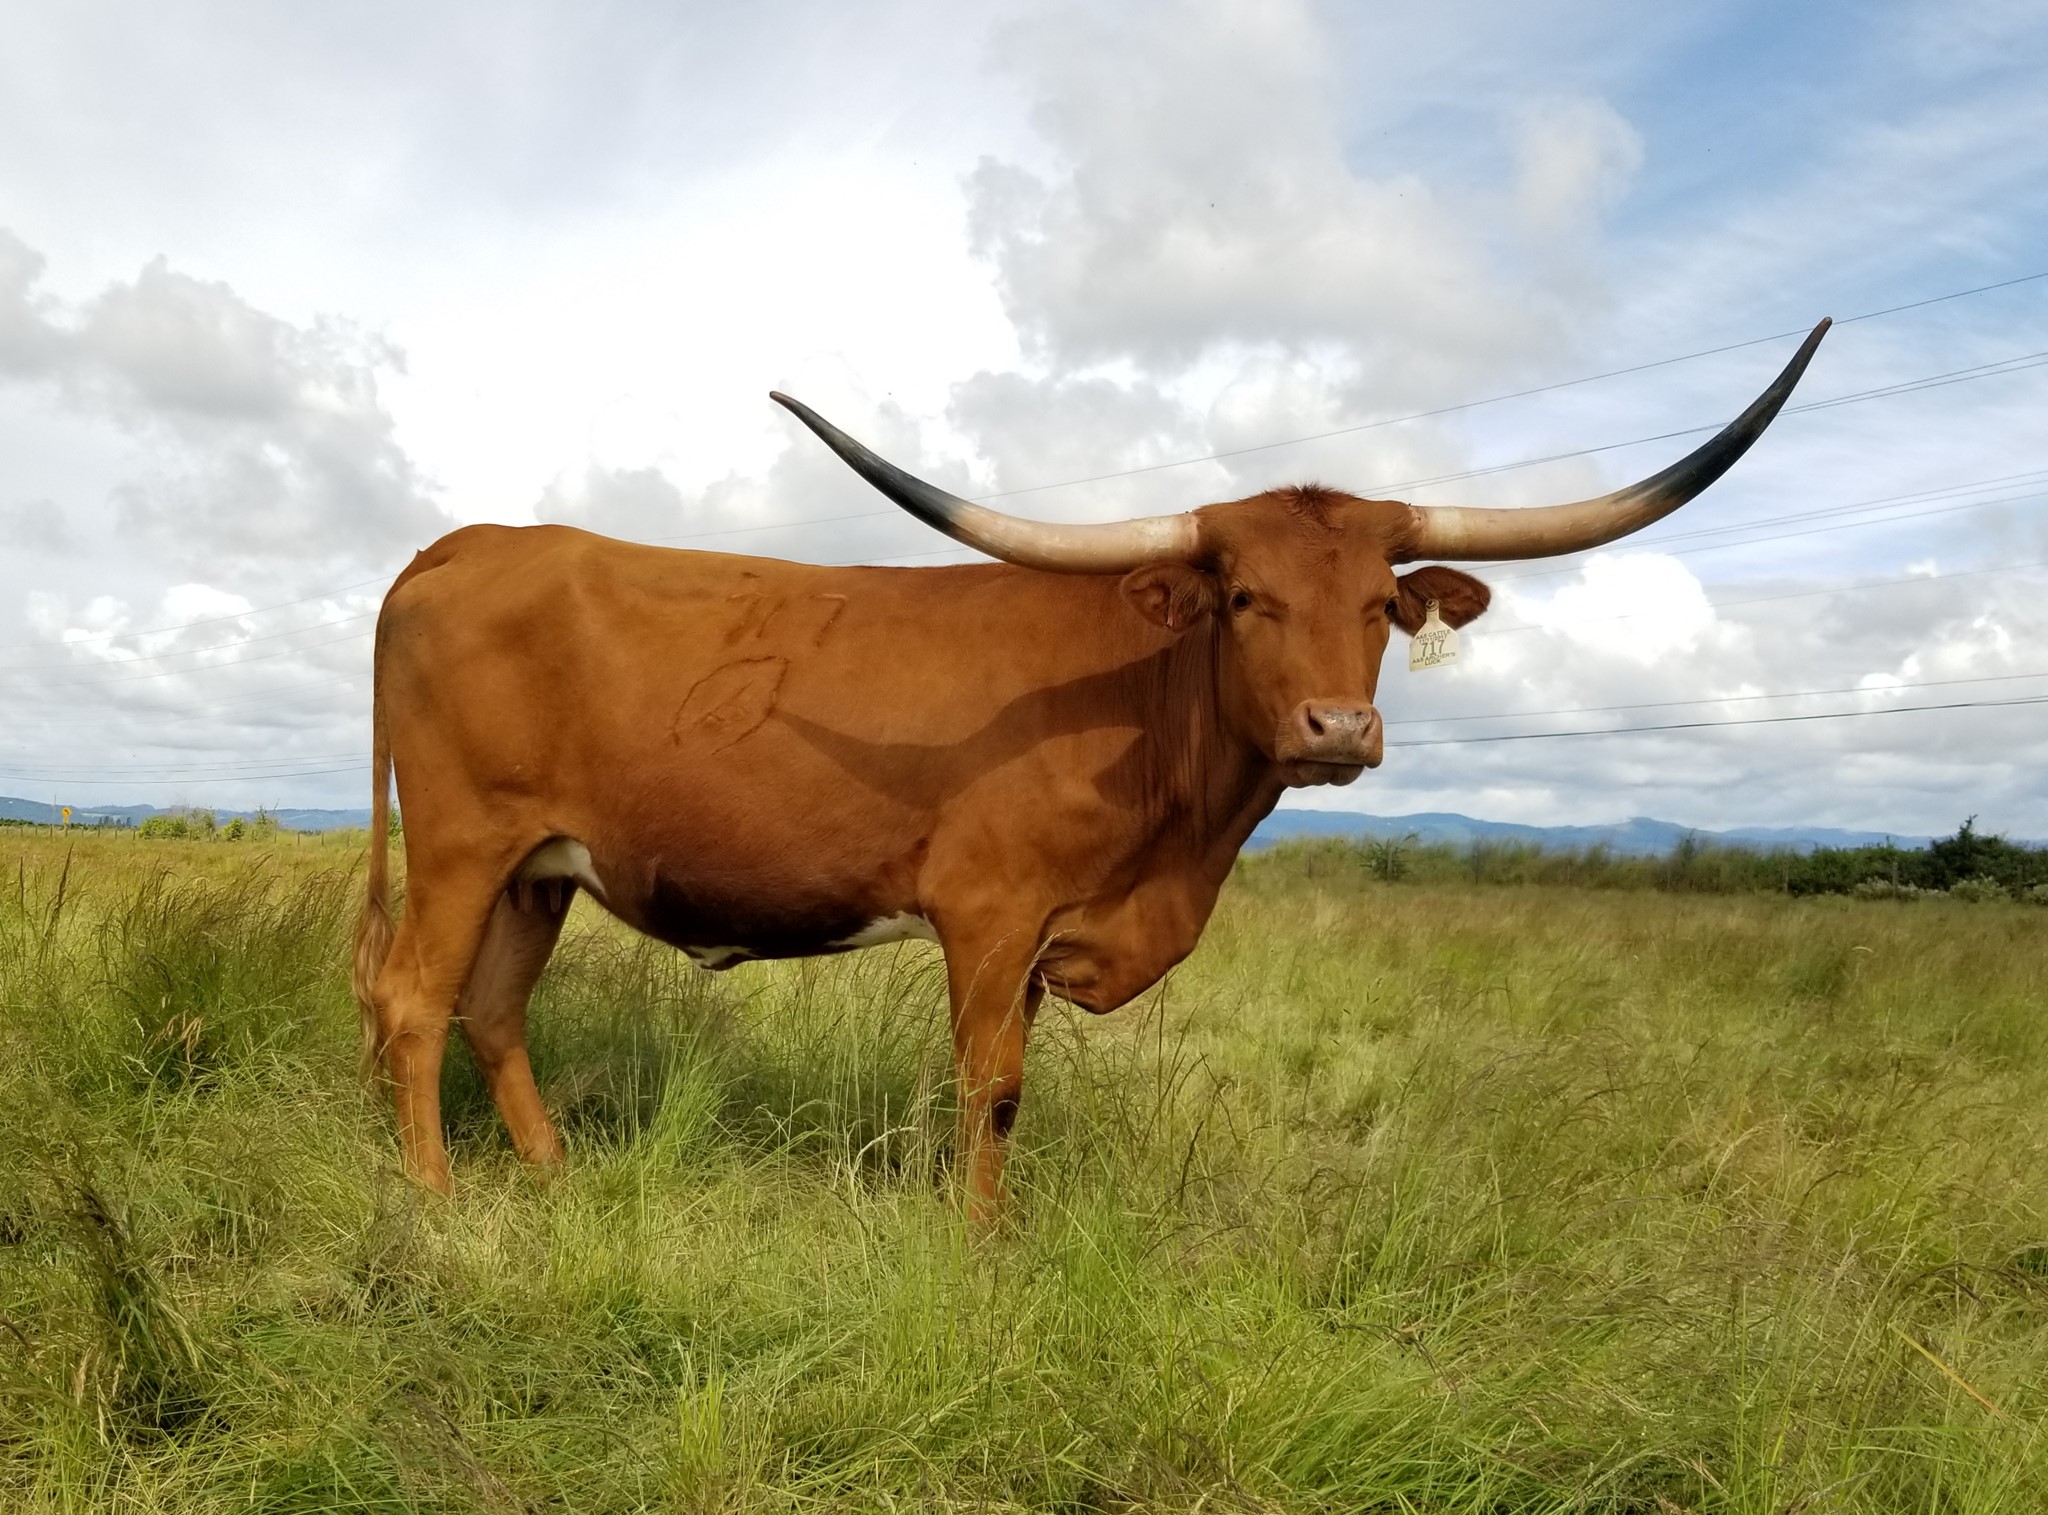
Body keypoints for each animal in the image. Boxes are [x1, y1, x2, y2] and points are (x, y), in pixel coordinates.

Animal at [352, 319, 1828, 1217]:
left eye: (1377, 604)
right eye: (1244, 598)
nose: (1337, 730)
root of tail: (468, 543)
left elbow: (1013, 1096)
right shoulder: (990, 912)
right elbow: (988, 1087)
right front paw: (976, 1249)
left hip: (543, 866)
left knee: (493, 1007)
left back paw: (550, 1179)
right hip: (463, 840)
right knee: (415, 996)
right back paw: (433, 1202)